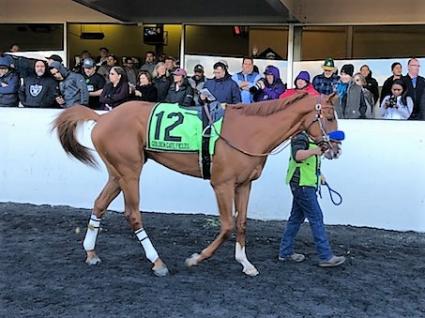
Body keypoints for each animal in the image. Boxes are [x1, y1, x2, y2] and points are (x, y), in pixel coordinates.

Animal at [53, 92, 338, 276]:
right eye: (329, 117)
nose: (335, 149)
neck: (247, 131)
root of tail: (103, 118)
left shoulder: (244, 184)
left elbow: (242, 224)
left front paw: (245, 263)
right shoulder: (222, 184)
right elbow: (227, 225)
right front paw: (197, 258)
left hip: (117, 173)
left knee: (99, 204)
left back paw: (91, 252)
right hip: (130, 172)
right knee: (132, 214)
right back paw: (157, 262)